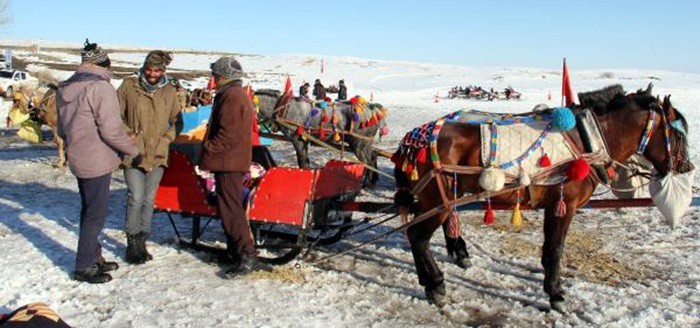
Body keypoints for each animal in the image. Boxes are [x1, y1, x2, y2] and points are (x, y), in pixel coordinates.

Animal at [396, 84, 692, 310]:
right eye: (678, 133)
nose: (687, 167)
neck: (586, 139)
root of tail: (412, 138)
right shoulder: (565, 205)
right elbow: (556, 248)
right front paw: (556, 294)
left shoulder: (553, 205)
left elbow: (549, 247)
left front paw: (549, 282)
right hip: (437, 200)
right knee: (418, 237)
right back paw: (436, 285)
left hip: (441, 199)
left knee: (418, 232)